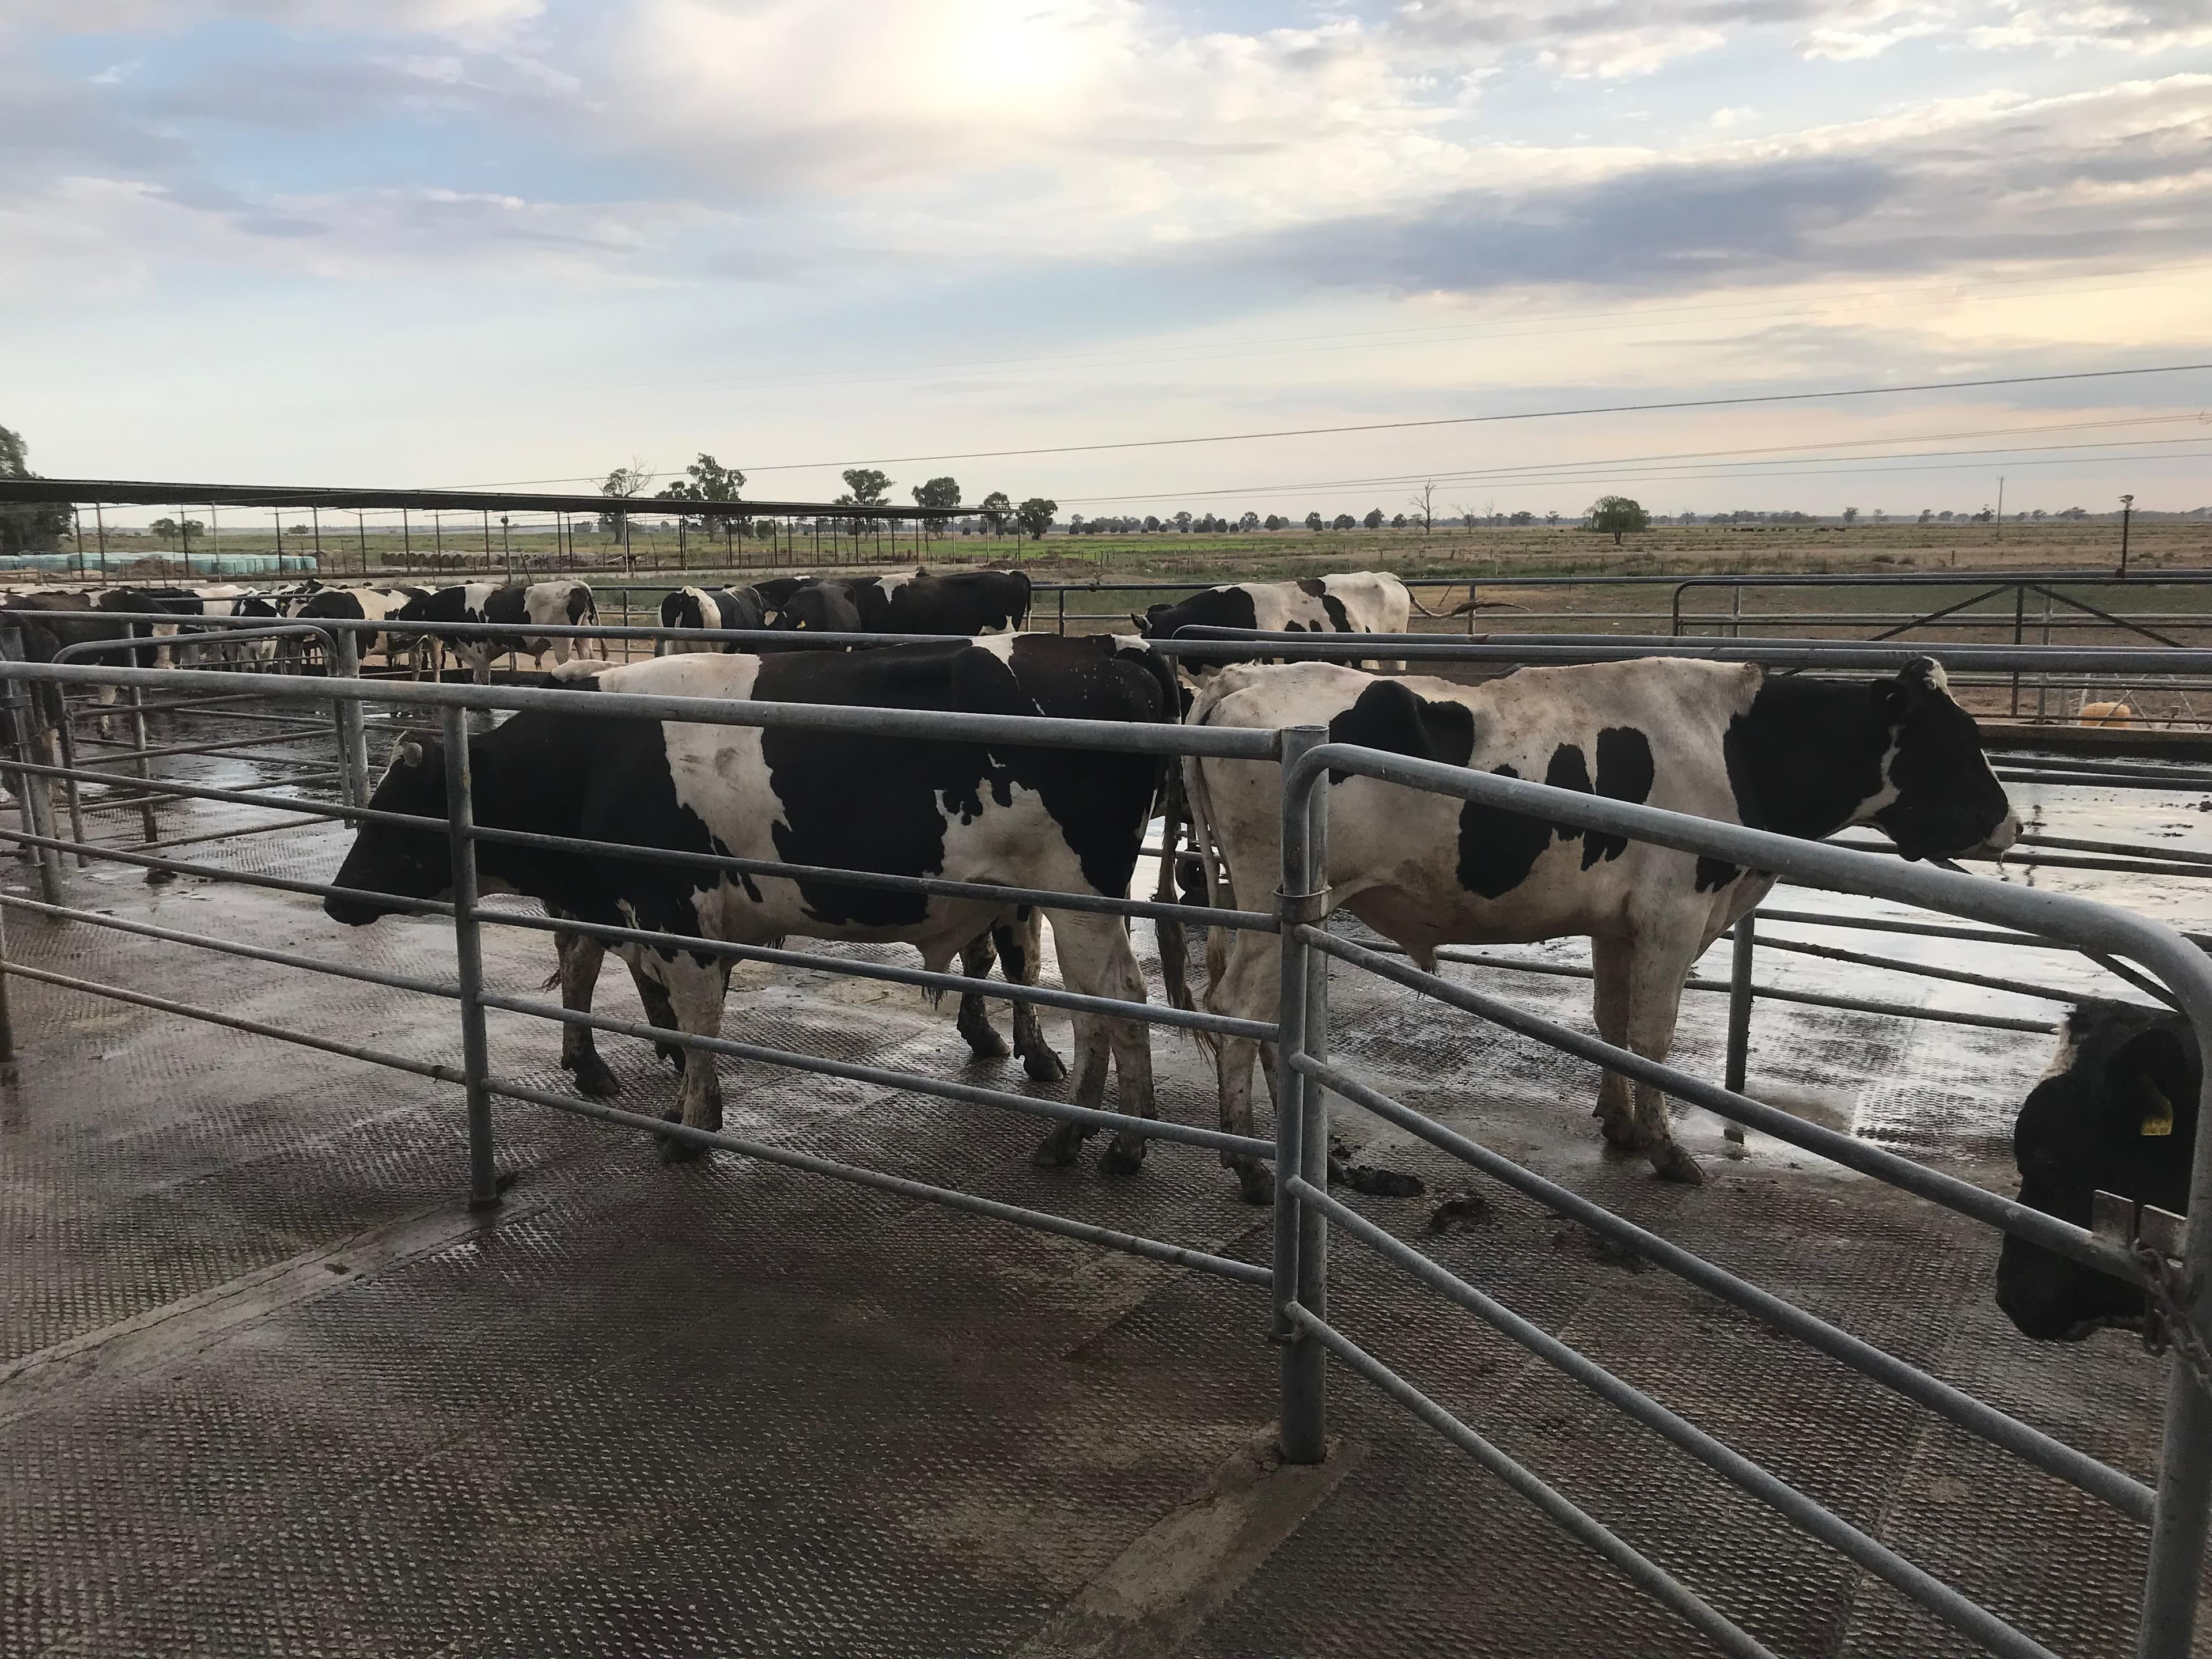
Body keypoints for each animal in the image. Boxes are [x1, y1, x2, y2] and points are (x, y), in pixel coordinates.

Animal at [324, 633, 1180, 1169]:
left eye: (399, 812)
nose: (335, 900)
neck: (597, 757)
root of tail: (1111, 651)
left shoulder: (675, 910)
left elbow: (699, 1022)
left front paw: (692, 1128)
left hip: (1077, 896)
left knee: (1109, 1002)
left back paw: (1089, 1140)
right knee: (1113, 1001)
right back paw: (1108, 1140)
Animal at [1183, 655, 2019, 1201]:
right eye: (1952, 742)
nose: (2010, 826)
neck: (1739, 747)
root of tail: (1238, 677)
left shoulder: (1619, 926)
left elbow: (1611, 1024)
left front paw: (1620, 1125)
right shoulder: (1673, 917)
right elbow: (1653, 1038)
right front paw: (1668, 1151)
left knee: (1259, 1013)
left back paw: (1296, 1147)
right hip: (1280, 896)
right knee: (1238, 1008)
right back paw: (1252, 1165)